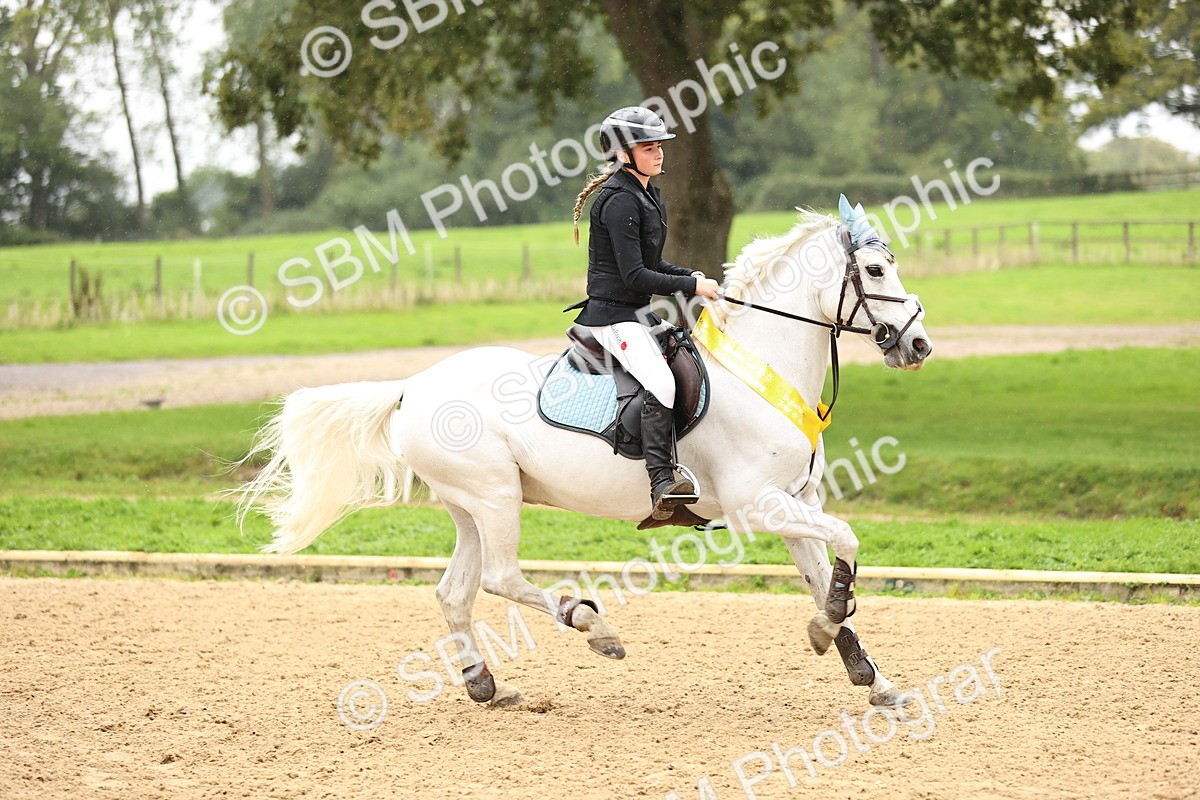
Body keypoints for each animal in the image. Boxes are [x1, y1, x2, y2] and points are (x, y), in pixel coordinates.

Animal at [236, 201, 933, 708]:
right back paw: (592, 626)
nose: (918, 345)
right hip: (496, 496)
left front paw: (871, 675)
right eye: (875, 273)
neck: (761, 368)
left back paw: (483, 684)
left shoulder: (792, 502)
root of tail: (412, 387)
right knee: (498, 578)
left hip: (470, 505)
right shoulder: (755, 506)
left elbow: (825, 573)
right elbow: (847, 540)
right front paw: (832, 633)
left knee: (454, 592)